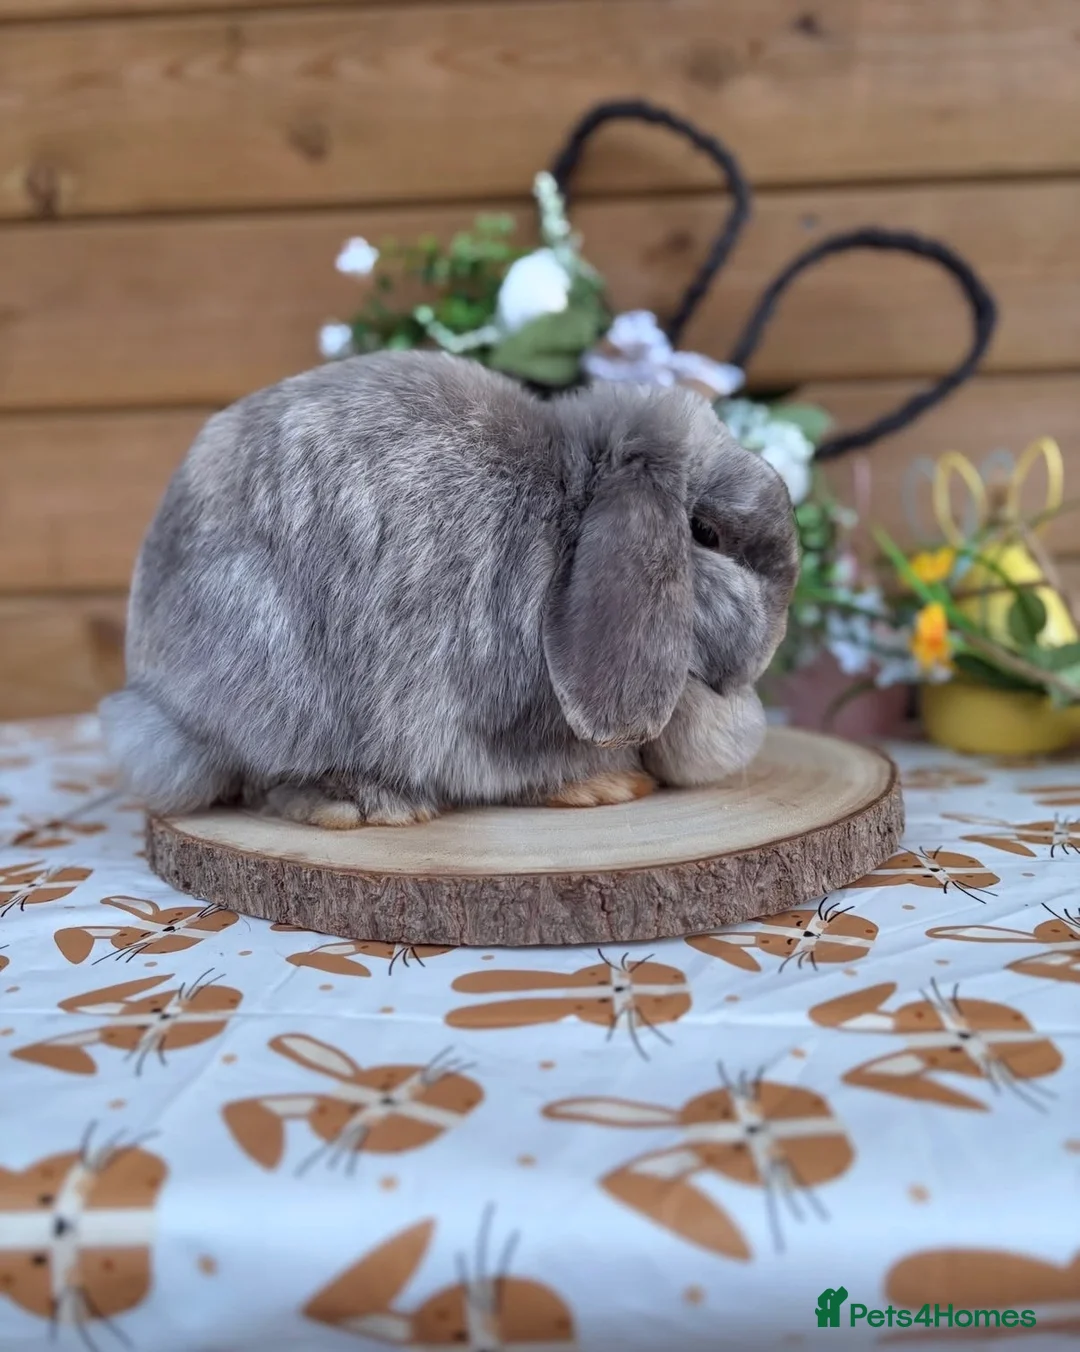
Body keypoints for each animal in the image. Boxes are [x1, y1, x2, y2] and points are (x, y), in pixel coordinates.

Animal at [100, 349, 798, 828]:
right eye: (704, 532)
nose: (776, 636)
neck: (574, 510)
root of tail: (150, 694)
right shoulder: (493, 717)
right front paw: (606, 787)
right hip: (279, 673)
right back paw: (369, 805)